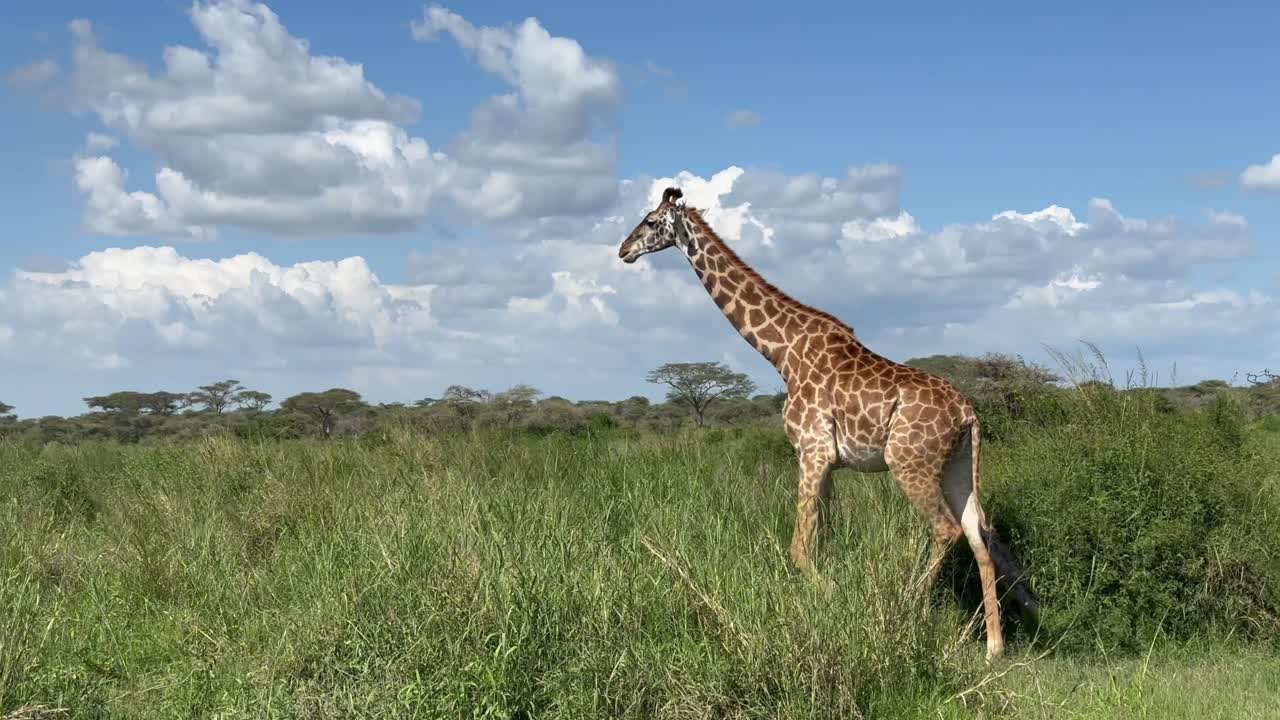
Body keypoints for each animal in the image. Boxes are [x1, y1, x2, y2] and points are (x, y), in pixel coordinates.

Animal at [618, 186, 1038, 659]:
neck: (781, 352)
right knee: (980, 537)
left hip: (909, 463)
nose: (623, 249)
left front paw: (832, 596)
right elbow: (823, 540)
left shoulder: (811, 450)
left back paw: (902, 609)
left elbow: (800, 549)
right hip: (958, 468)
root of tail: (968, 414)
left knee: (946, 530)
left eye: (651, 222)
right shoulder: (829, 462)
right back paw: (994, 645)